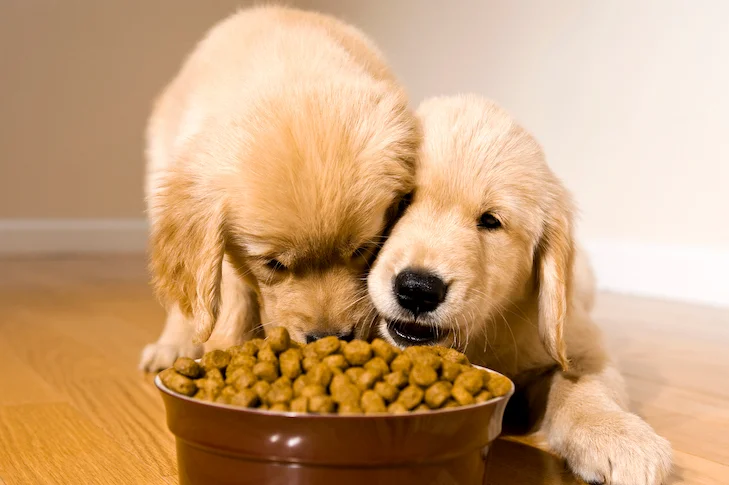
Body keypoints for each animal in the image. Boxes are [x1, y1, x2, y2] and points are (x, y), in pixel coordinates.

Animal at [139, 4, 418, 370]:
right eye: (273, 264)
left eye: (363, 249)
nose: (329, 338)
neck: (293, 76)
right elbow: (230, 296)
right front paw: (228, 347)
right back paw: (173, 345)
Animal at [370, 95, 672, 484]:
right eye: (402, 201)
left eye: (490, 221)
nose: (418, 289)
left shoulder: (577, 342)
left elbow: (581, 382)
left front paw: (616, 434)